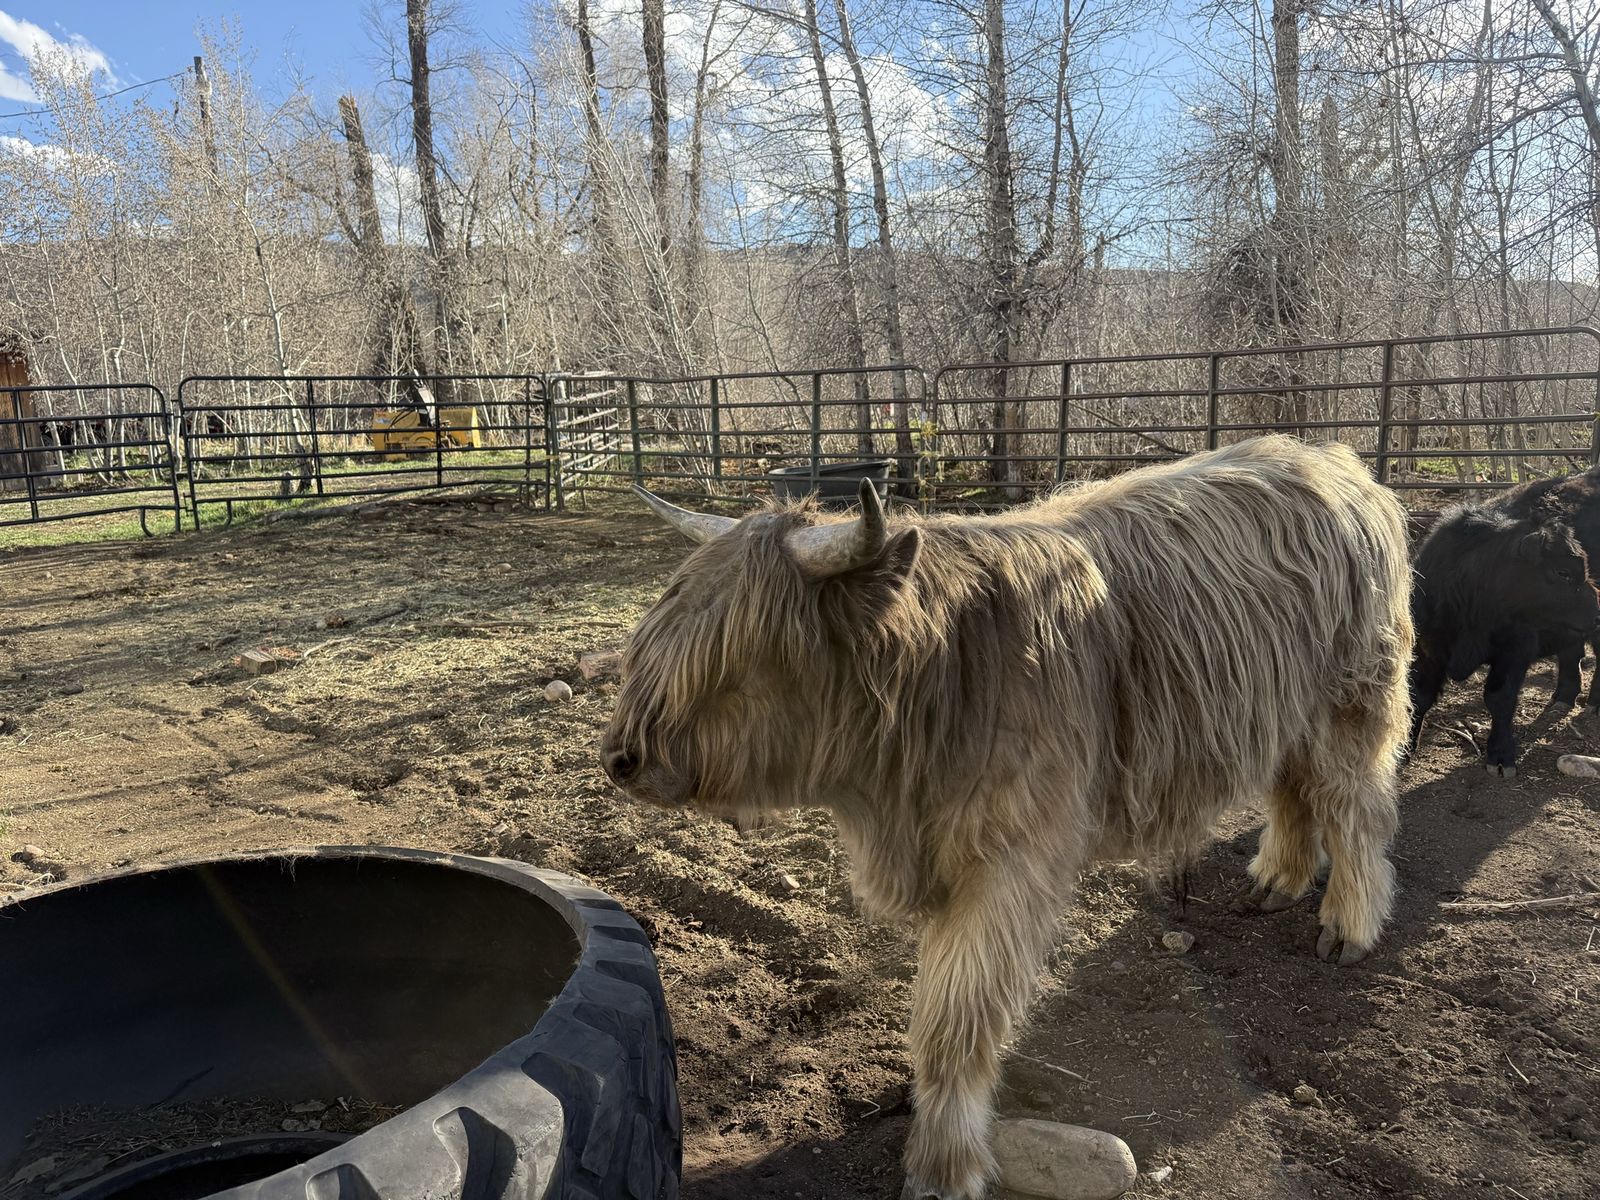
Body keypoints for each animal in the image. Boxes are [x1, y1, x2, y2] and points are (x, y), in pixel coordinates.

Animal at [600, 435, 1412, 1200]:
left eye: (733, 658)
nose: (620, 757)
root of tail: (1334, 462)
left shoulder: (1007, 865)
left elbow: (956, 1018)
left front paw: (942, 1164)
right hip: (1278, 709)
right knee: (1293, 789)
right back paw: (1277, 878)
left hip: (1350, 702)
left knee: (1357, 808)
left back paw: (1348, 924)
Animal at [1408, 492, 1599, 776]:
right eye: (1562, 572)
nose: (1598, 612)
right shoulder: (1427, 650)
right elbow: (1419, 697)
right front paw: (1404, 748)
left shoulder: (1515, 651)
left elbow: (1500, 699)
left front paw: (1500, 755)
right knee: (1570, 654)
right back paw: (1563, 698)